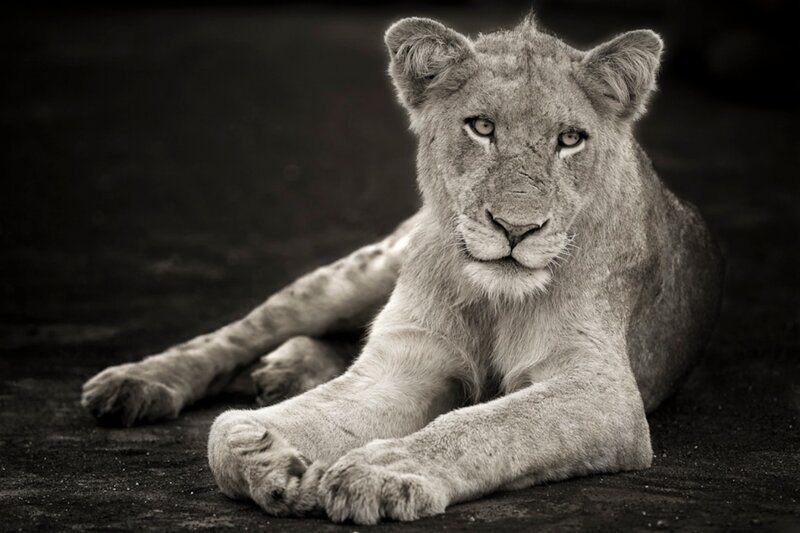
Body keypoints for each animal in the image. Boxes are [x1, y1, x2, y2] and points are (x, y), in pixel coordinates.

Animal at [81, 16, 723, 524]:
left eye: (570, 140)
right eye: (481, 127)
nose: (516, 229)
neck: (492, 296)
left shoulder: (603, 393)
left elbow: (488, 424)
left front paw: (381, 470)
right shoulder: (403, 364)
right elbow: (222, 432)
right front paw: (275, 463)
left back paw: (286, 370)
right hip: (362, 270)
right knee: (244, 332)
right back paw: (139, 382)